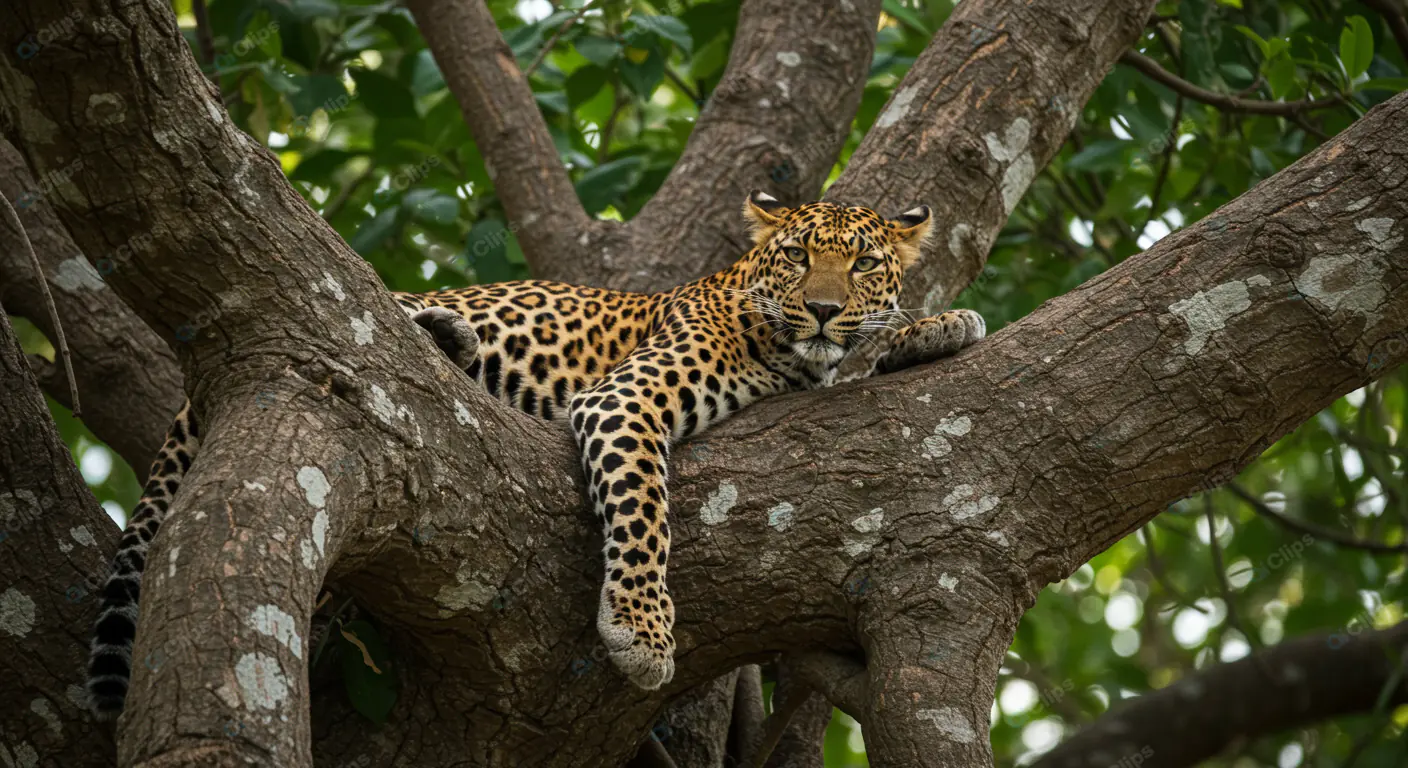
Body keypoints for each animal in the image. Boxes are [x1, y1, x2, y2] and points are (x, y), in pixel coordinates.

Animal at [86, 192, 986, 718]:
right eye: (797, 256)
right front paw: (641, 631)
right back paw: (437, 335)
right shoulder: (625, 400)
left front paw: (936, 325)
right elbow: (645, 511)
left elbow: (870, 348)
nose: (826, 308)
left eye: (862, 263)